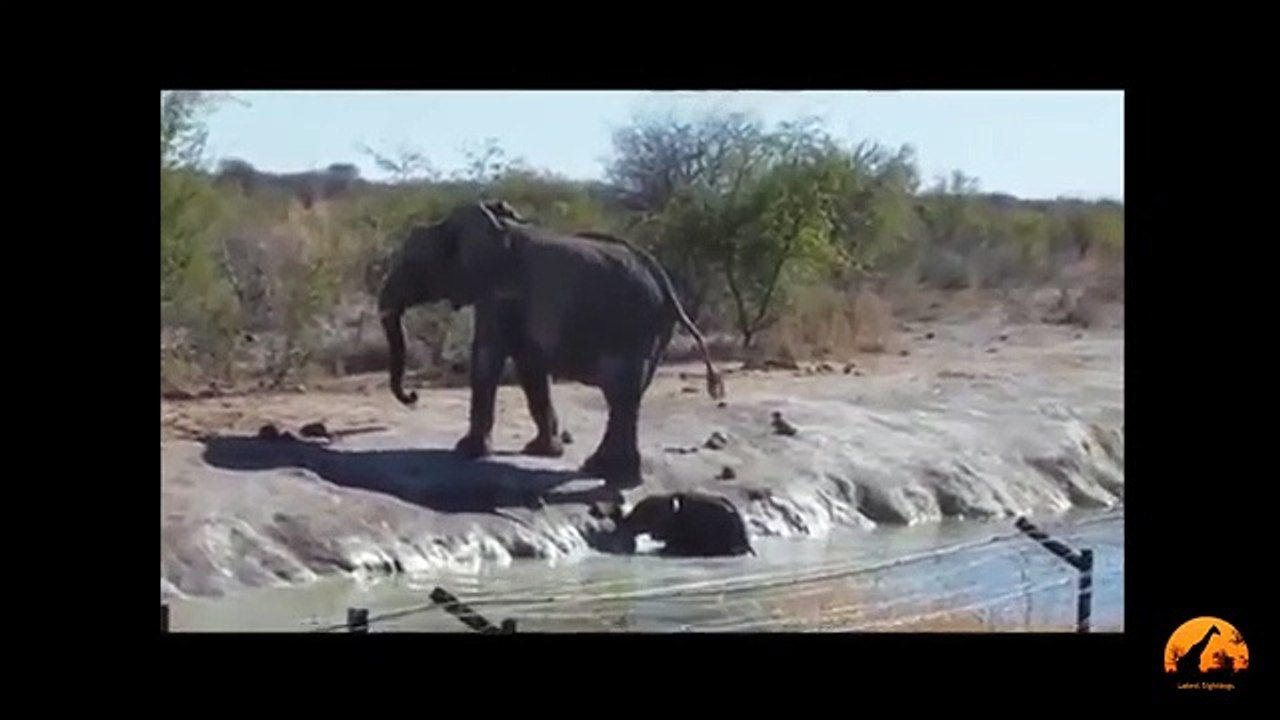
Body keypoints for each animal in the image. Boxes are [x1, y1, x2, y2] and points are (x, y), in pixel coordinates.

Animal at [378, 199, 726, 488]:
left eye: (411, 264)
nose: (413, 396)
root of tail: (666, 287)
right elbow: (529, 368)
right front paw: (542, 451)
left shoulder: (500, 293)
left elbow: (489, 357)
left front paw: (467, 451)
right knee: (627, 397)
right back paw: (603, 471)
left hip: (629, 325)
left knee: (620, 392)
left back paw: (612, 475)